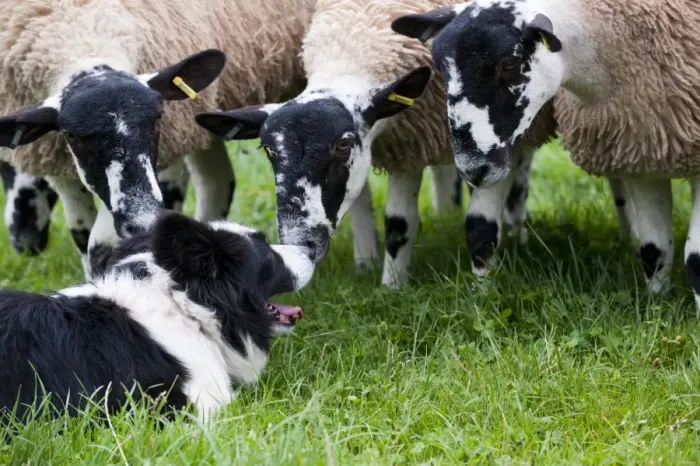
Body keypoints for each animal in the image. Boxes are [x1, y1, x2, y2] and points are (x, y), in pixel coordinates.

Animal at [0, 0, 316, 278]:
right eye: (71, 135)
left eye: (158, 117)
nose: (24, 243)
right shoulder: (60, 168)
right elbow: (82, 234)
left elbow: (101, 244)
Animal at [195, 0, 557, 288]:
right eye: (269, 151)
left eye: (342, 145)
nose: (300, 243)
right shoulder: (399, 145)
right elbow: (373, 210)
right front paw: (371, 269)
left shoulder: (436, 142)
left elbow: (417, 223)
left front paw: (475, 289)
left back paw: (516, 230)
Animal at [390, 0, 700, 307]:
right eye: (441, 69)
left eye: (509, 63)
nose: (472, 169)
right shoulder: (643, 152)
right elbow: (654, 249)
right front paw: (657, 305)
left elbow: (694, 257)